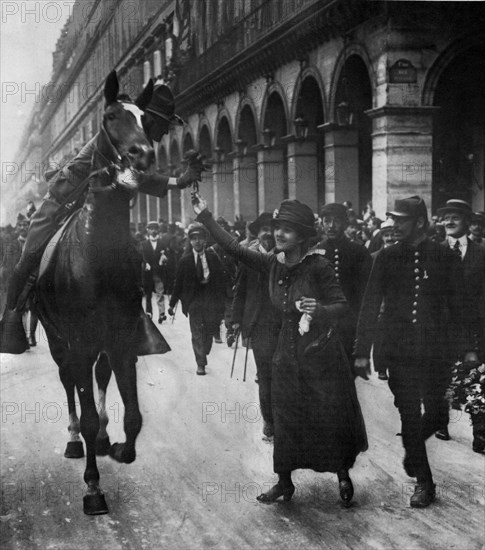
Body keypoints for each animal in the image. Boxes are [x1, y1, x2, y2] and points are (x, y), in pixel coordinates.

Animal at [35, 72, 154, 516]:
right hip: (57, 337)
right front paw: (92, 486)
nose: (142, 154)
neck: (96, 253)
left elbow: (133, 415)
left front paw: (119, 447)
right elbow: (84, 408)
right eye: (111, 116)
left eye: (145, 118)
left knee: (99, 377)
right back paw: (74, 440)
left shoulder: (122, 340)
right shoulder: (79, 341)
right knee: (68, 379)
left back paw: (103, 438)